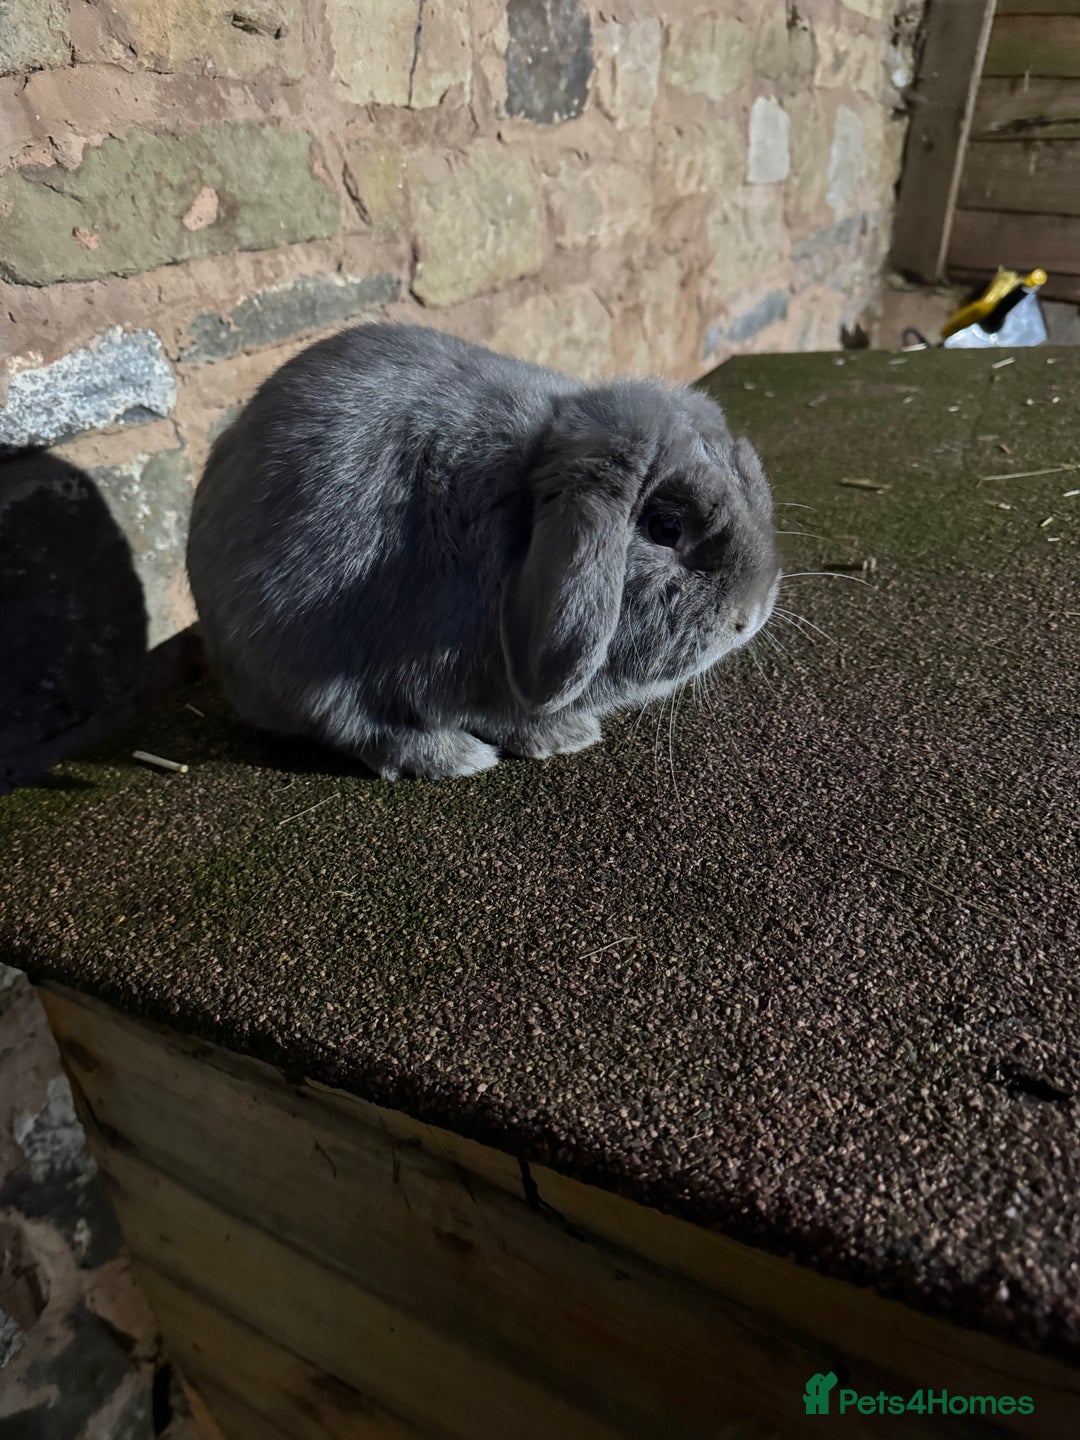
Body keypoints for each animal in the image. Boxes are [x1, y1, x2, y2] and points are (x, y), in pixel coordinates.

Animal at [186, 322, 780, 780]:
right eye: (666, 528)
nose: (749, 617)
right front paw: (565, 736)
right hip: (299, 657)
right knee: (356, 726)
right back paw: (456, 758)